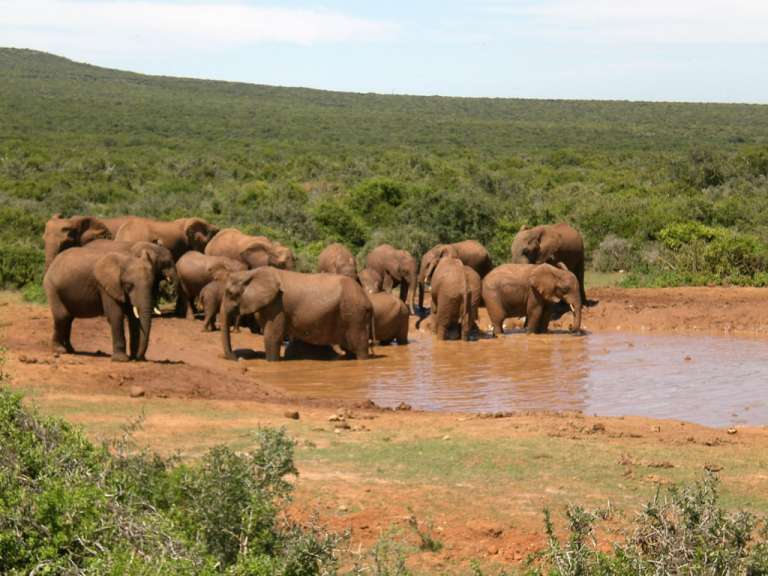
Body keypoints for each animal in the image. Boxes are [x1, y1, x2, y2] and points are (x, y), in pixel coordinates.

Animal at [220, 267, 373, 362]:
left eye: (230, 293)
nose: (236, 358)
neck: (250, 273)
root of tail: (367, 299)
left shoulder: (277, 305)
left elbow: (272, 336)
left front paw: (271, 362)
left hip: (355, 314)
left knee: (359, 346)